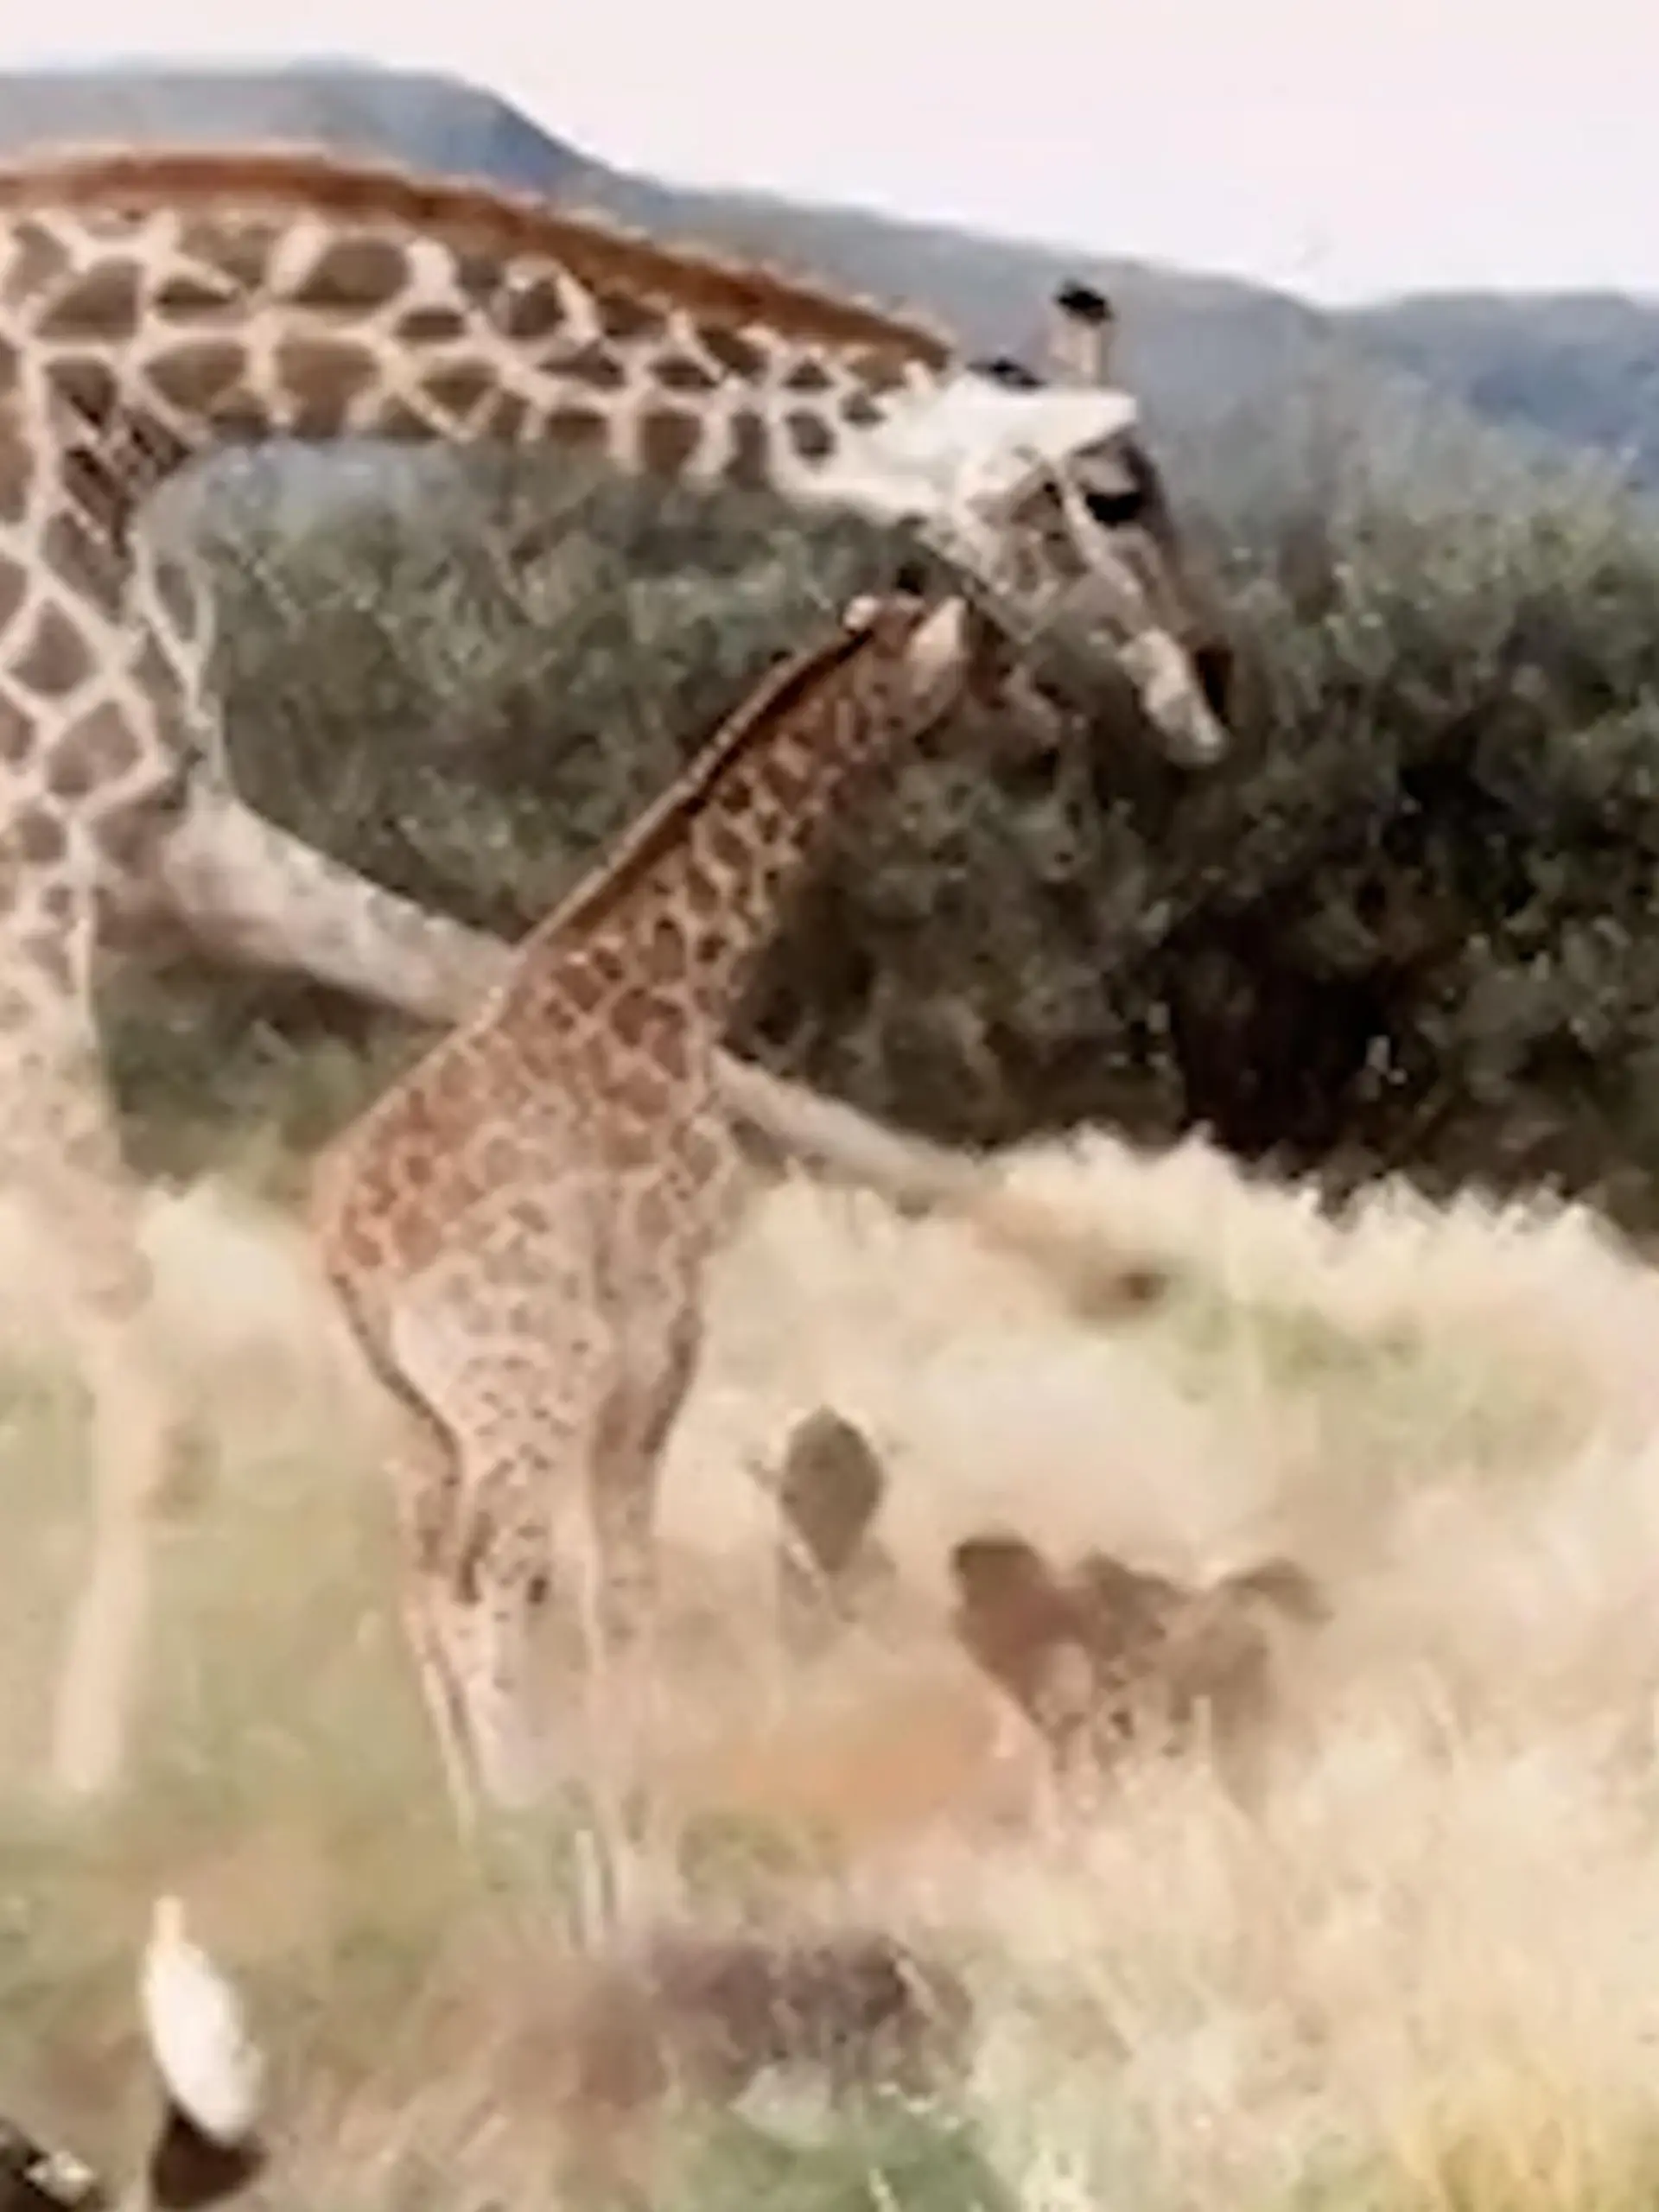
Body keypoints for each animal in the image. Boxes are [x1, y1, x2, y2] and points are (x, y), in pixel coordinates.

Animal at [308, 587, 988, 1826]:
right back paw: (525, 1810)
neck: (678, 977)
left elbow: (610, 1580)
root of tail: (346, 1253)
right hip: (526, 1383)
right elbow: (625, 1577)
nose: (1034, 712)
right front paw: (637, 1793)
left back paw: (474, 1818)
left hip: (411, 1419)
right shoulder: (660, 1320)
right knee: (486, 1575)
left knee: (428, 1582)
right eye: (969, 661)